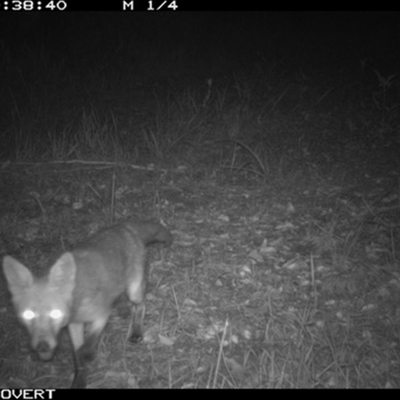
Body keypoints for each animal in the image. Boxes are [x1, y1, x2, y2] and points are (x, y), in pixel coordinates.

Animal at [2, 220, 173, 390]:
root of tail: (123, 227)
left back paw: (136, 331)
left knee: (140, 306)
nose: (42, 347)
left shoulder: (101, 315)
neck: (77, 301)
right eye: (28, 315)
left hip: (134, 291)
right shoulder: (74, 324)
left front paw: (88, 356)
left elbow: (87, 346)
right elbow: (77, 355)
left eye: (55, 313)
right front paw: (79, 379)